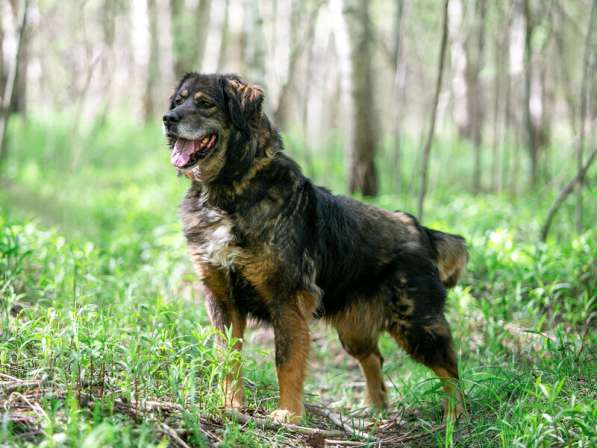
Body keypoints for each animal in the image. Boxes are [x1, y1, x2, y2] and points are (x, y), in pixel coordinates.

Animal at [165, 73, 468, 424]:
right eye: (179, 100)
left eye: (205, 103)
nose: (168, 119)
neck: (229, 193)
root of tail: (419, 228)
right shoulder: (222, 298)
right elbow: (228, 358)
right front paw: (230, 407)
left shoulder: (286, 298)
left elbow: (286, 360)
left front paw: (287, 414)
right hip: (354, 331)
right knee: (374, 359)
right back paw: (373, 410)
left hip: (416, 324)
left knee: (450, 369)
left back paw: (455, 415)